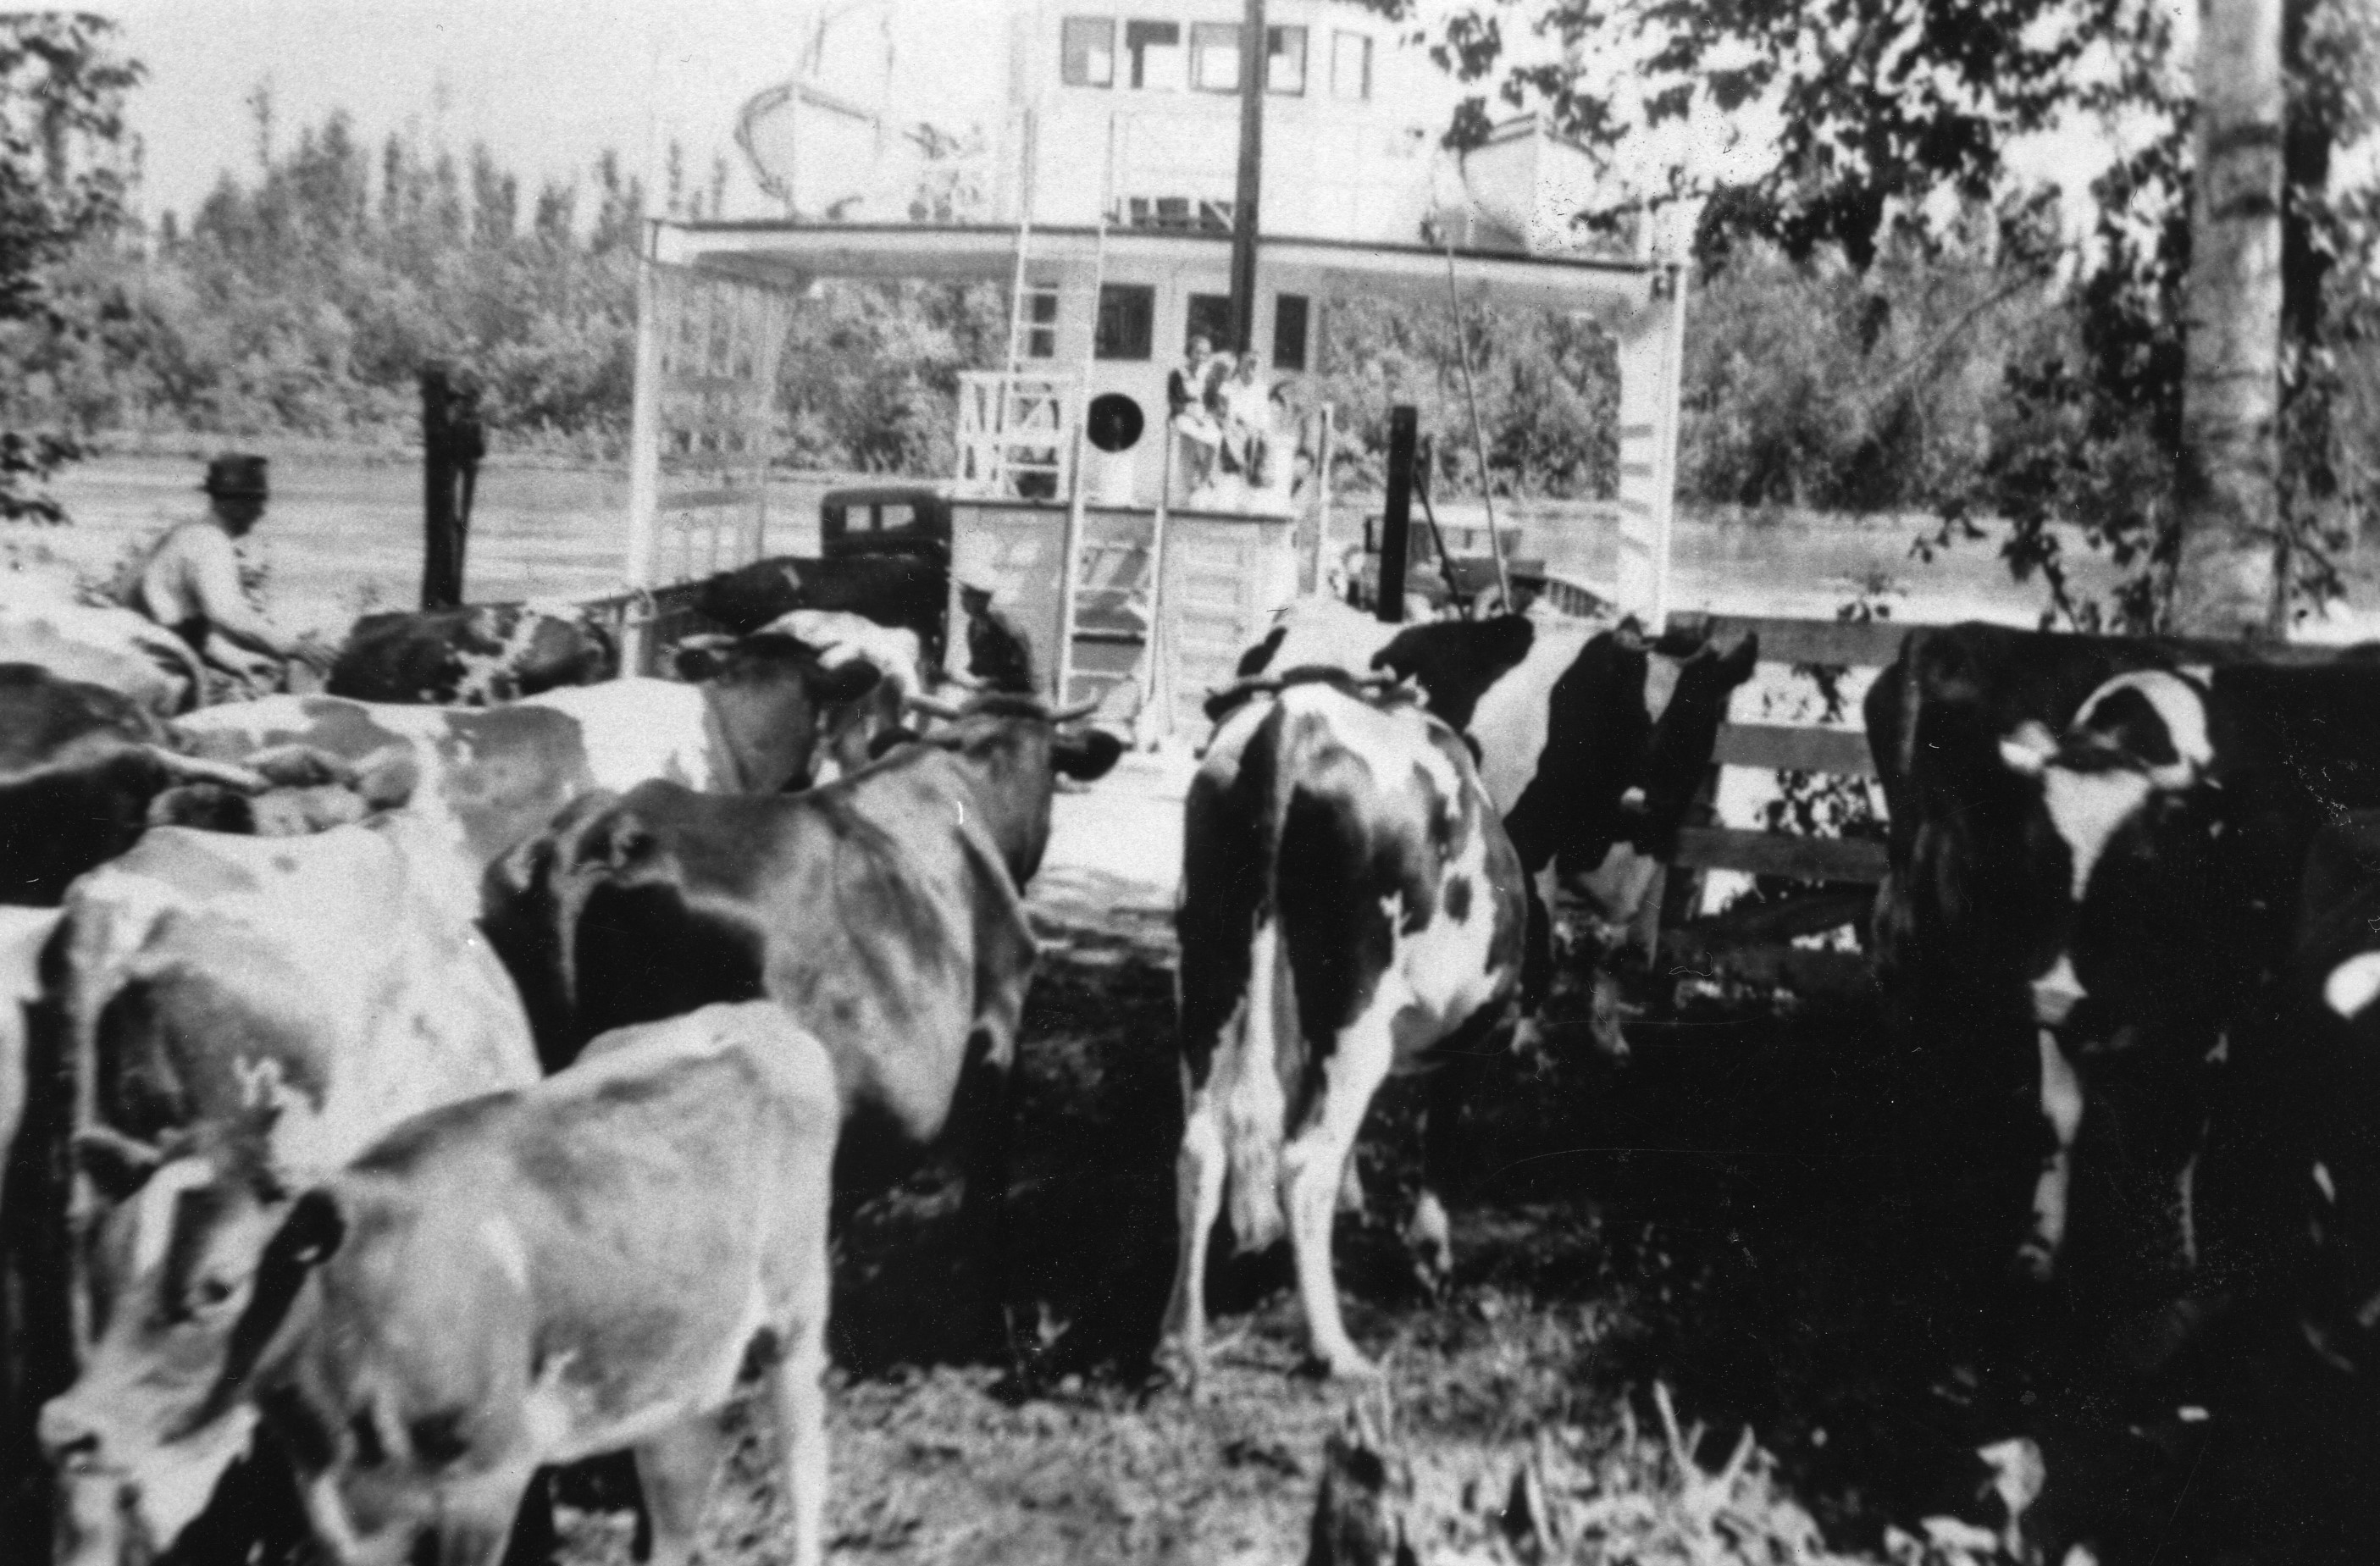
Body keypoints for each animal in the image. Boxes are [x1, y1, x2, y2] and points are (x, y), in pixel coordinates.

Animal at [36, 999, 842, 1561]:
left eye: (220, 1285)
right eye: (102, 1264)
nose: (66, 1427)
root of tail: (747, 1016)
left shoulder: (488, 1481)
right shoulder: (343, 1512)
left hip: (797, 1318)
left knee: (804, 1468)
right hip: (668, 1371)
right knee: (678, 1489)